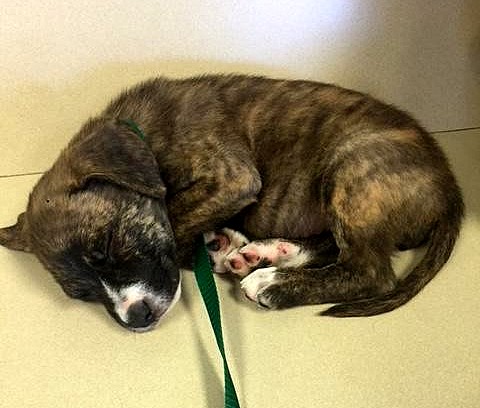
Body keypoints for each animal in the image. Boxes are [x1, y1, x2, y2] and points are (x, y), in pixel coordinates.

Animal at [0, 75, 464, 332]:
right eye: (83, 294)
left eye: (109, 245)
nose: (136, 318)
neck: (144, 136)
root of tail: (450, 188)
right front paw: (217, 247)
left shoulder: (233, 178)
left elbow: (174, 215)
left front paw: (207, 245)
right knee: (337, 247)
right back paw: (267, 254)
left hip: (353, 167)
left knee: (371, 272)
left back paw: (273, 283)